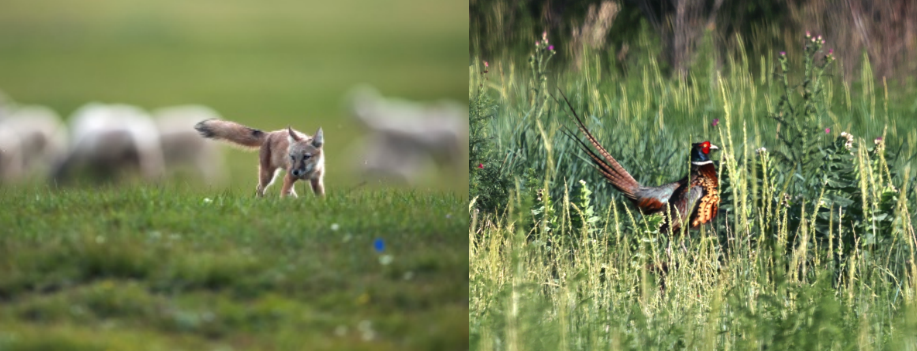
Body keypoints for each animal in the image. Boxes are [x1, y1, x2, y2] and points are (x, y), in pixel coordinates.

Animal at [191, 119, 324, 198]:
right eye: (292, 157)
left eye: (306, 157)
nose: (295, 171)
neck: (306, 175)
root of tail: (270, 134)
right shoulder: (289, 177)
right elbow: (283, 195)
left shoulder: (316, 180)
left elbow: (321, 197)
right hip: (267, 176)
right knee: (259, 188)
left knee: (290, 192)